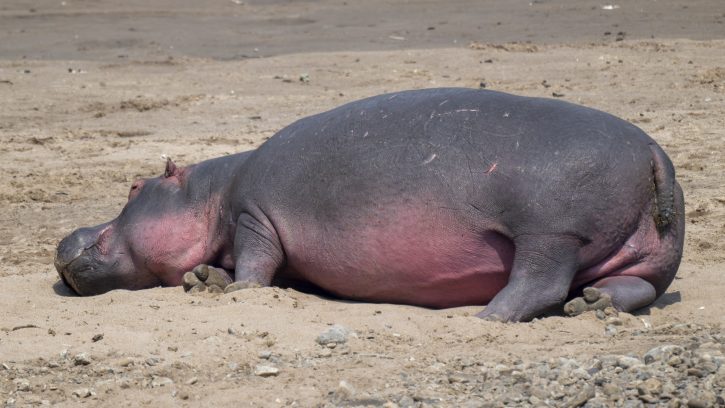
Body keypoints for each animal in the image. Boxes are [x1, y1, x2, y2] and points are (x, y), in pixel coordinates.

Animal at [55, 88, 684, 322]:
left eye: (135, 188)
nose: (65, 236)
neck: (212, 192)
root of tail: (654, 151)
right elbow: (241, 265)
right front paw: (205, 280)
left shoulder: (254, 216)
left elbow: (256, 263)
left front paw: (232, 290)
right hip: (644, 255)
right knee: (635, 286)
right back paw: (594, 304)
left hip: (550, 233)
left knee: (540, 282)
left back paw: (486, 316)